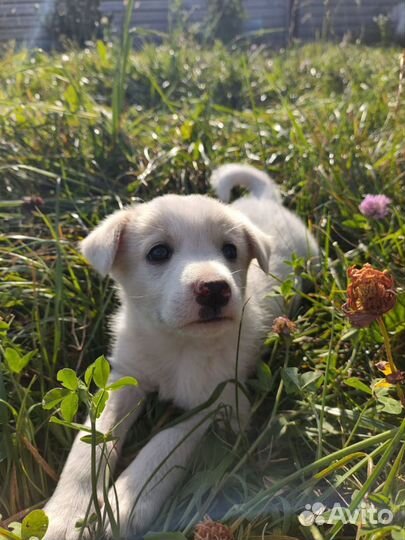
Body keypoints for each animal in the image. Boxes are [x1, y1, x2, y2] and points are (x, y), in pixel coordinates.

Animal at [42, 165, 318, 540]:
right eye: (158, 252)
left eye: (230, 250)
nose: (215, 288)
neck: (177, 344)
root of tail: (264, 199)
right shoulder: (126, 378)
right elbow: (88, 445)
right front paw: (66, 514)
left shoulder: (221, 401)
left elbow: (166, 440)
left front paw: (125, 499)